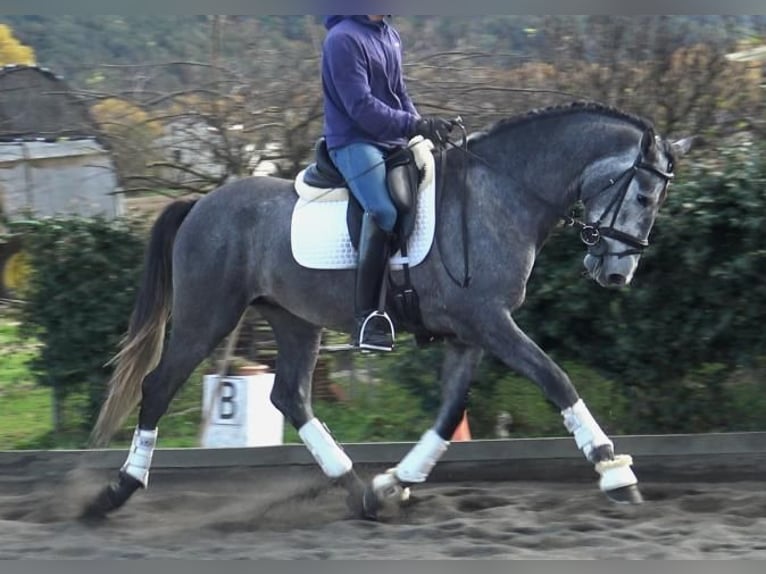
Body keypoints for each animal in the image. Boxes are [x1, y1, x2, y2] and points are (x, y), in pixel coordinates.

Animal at [82, 102, 696, 520]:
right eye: (645, 196)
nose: (616, 275)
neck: (503, 194)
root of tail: (199, 205)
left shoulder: (470, 332)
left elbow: (449, 414)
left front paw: (395, 482)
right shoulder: (490, 322)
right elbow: (556, 378)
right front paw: (614, 471)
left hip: (293, 318)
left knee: (291, 396)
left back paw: (358, 490)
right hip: (207, 315)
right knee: (160, 386)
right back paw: (116, 491)